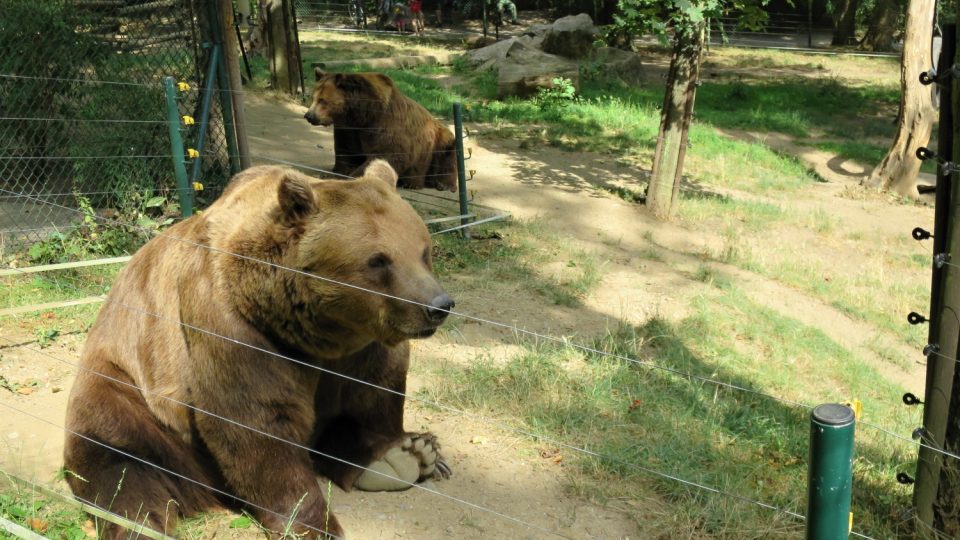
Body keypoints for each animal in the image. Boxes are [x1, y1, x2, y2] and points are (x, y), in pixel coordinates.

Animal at [64, 161, 458, 540]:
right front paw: (314, 523)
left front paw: (393, 453)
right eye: (378, 260)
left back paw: (416, 455)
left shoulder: (362, 346)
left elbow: (373, 393)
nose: (438, 305)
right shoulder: (232, 325)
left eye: (423, 251)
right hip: (128, 386)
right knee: (121, 465)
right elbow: (253, 419)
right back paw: (141, 524)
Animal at [306, 68, 460, 192]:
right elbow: (347, 150)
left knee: (447, 153)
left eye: (322, 100)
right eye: (312, 97)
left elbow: (387, 153)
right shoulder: (349, 129)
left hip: (438, 140)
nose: (309, 116)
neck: (362, 114)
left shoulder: (385, 123)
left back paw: (440, 184)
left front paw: (353, 176)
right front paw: (333, 172)